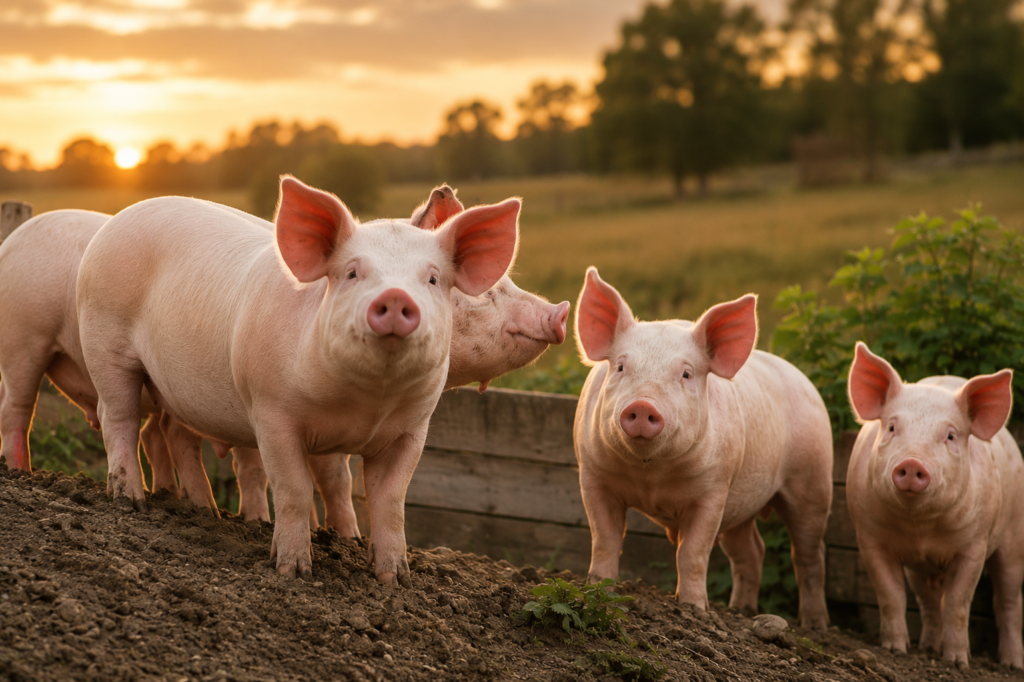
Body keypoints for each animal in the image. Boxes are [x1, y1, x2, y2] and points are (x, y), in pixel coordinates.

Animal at [75, 176, 519, 584]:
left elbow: (390, 500)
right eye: (352, 273)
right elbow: (294, 490)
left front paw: (394, 579)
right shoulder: (271, 412)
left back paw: (207, 512)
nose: (395, 296)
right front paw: (292, 572)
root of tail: (117, 221)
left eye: (432, 279)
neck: (366, 401)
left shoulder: (412, 429)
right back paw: (131, 501)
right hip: (104, 341)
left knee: (174, 436)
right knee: (118, 418)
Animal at [573, 267, 833, 630]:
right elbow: (605, 539)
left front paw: (694, 609)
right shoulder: (593, 477)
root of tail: (806, 382)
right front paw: (599, 589)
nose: (642, 405)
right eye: (621, 367)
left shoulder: (714, 491)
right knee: (753, 551)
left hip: (812, 481)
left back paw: (814, 626)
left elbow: (692, 553)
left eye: (686, 373)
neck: (650, 477)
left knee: (808, 555)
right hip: (741, 506)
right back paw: (742, 611)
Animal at [845, 342, 1023, 668]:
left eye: (950, 435)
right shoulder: (869, 537)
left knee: (1008, 601)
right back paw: (927, 648)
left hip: (1014, 536)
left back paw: (1010, 664)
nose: (912, 463)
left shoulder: (974, 546)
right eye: (892, 427)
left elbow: (956, 603)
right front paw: (895, 650)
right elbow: (891, 594)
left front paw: (957, 663)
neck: (921, 529)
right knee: (927, 600)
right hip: (919, 569)